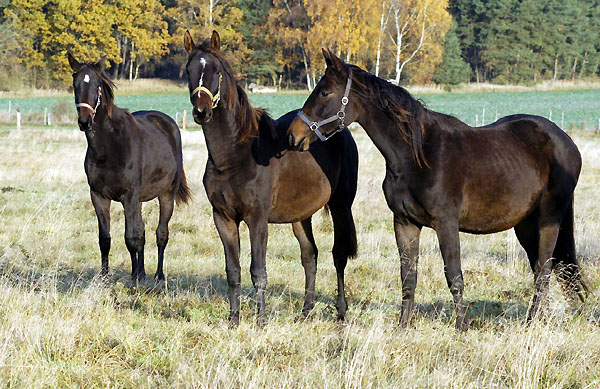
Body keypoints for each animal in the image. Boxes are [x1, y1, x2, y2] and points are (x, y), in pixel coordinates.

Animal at [67, 53, 190, 280]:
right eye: (75, 84)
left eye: (97, 85)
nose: (85, 121)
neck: (109, 147)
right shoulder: (99, 196)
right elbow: (105, 239)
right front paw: (105, 276)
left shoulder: (129, 196)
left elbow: (131, 237)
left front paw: (134, 279)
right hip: (139, 200)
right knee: (142, 232)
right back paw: (142, 271)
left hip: (166, 194)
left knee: (161, 233)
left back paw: (158, 275)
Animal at [183, 32, 358, 324]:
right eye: (189, 71)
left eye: (217, 71)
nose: (201, 112)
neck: (235, 156)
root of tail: (340, 131)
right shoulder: (223, 218)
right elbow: (233, 270)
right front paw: (234, 319)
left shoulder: (257, 218)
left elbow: (258, 270)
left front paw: (261, 319)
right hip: (301, 215)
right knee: (309, 255)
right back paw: (306, 311)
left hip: (340, 206)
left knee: (339, 256)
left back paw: (342, 311)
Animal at [288, 47, 588, 328]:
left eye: (324, 92)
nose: (293, 135)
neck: (417, 156)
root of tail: (565, 141)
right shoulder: (405, 222)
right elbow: (408, 277)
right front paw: (404, 326)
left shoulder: (446, 223)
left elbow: (454, 275)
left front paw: (462, 326)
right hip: (524, 224)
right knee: (541, 268)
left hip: (549, 218)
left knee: (544, 268)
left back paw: (531, 321)